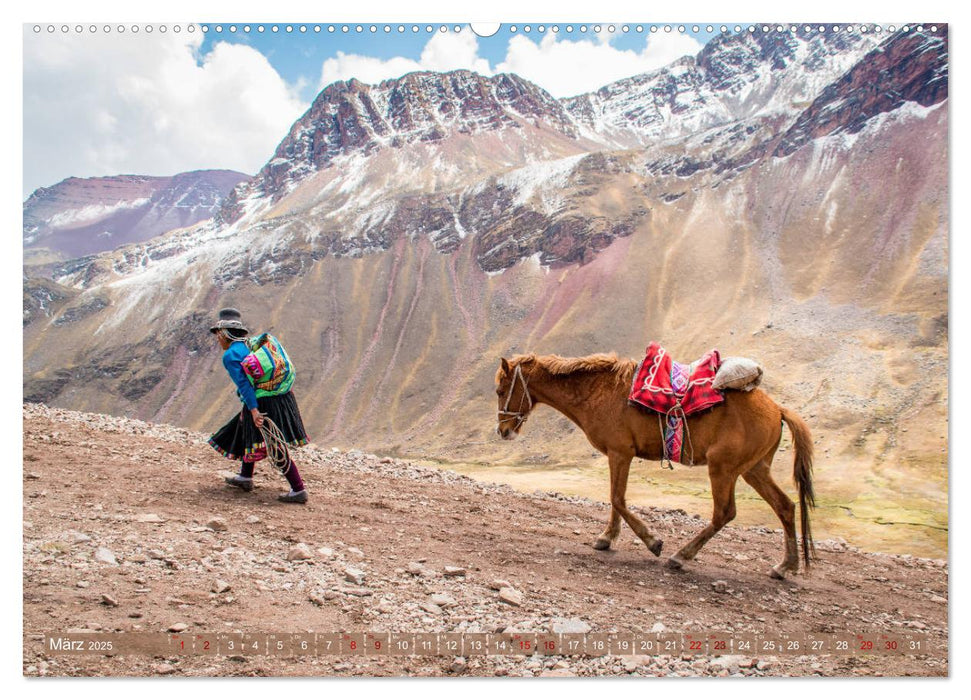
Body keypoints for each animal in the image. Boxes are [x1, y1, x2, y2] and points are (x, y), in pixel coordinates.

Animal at [498, 356, 816, 580]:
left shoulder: (620, 453)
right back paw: (784, 567)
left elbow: (617, 498)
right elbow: (615, 499)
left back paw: (680, 556)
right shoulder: (617, 455)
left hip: (723, 468)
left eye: (501, 390)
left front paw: (653, 542)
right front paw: (606, 539)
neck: (597, 392)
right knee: (785, 506)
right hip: (754, 469)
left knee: (725, 513)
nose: (502, 431)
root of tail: (778, 410)